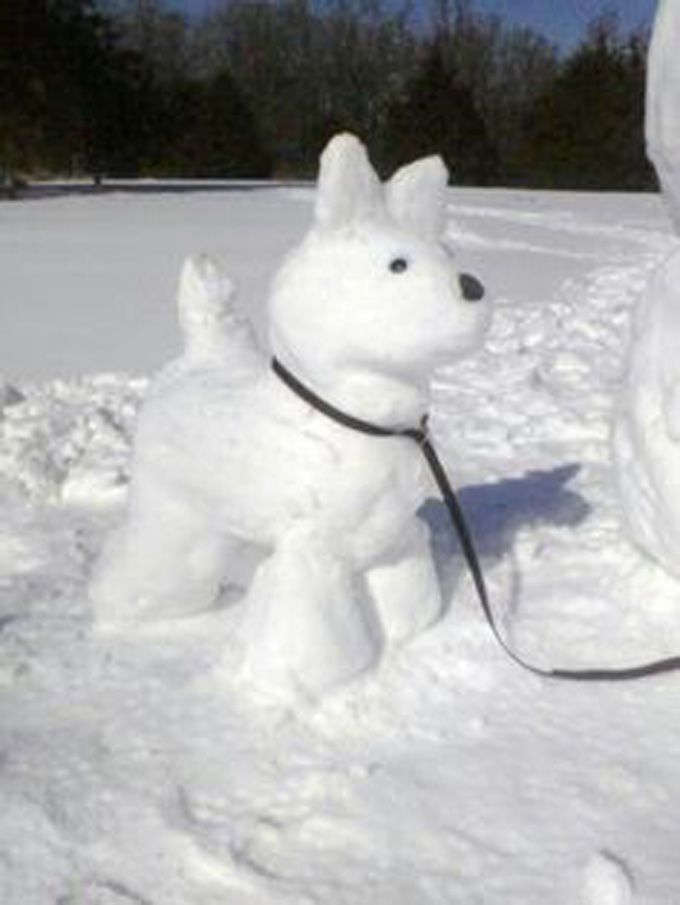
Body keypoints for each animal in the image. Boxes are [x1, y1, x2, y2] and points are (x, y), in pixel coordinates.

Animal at [90, 134, 488, 692]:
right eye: (398, 265)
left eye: (448, 253)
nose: (472, 287)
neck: (365, 421)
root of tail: (201, 355)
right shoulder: (313, 552)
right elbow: (317, 630)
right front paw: (307, 679)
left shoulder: (393, 540)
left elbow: (405, 596)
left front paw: (411, 630)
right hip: (172, 513)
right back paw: (117, 605)